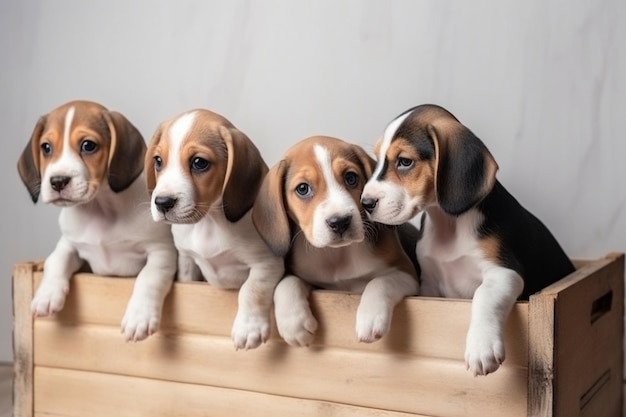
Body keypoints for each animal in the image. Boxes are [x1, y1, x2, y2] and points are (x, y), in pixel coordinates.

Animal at [17, 100, 177, 342]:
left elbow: (148, 277)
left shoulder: (161, 251)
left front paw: (139, 317)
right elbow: (55, 260)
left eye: (88, 146)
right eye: (46, 148)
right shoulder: (69, 244)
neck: (100, 210)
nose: (57, 181)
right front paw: (46, 294)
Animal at [144, 109, 282, 350]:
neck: (209, 223)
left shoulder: (267, 263)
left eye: (199, 162)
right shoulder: (187, 260)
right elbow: (187, 280)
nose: (162, 203)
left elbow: (252, 290)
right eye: (158, 161)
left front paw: (249, 327)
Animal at [251, 136, 416, 344]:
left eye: (351, 178)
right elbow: (287, 282)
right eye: (302, 189)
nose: (340, 222)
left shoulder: (407, 272)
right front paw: (294, 323)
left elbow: (380, 282)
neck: (337, 254)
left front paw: (370, 317)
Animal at [358, 103, 572, 374]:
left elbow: (484, 296)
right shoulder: (430, 284)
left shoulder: (504, 272)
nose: (365, 203)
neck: (448, 224)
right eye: (377, 160)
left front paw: (481, 346)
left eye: (405, 162)